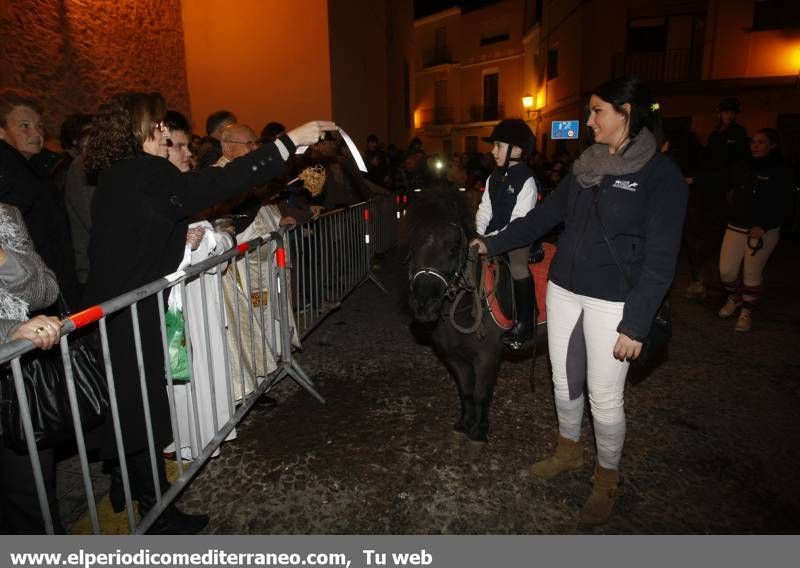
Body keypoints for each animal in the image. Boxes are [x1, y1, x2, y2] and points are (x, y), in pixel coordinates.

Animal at [406, 191, 544, 444]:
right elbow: (466, 391)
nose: (424, 306)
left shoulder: (487, 357)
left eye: (453, 248)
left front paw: (479, 430)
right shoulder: (455, 357)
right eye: (414, 245)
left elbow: (481, 393)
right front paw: (464, 424)